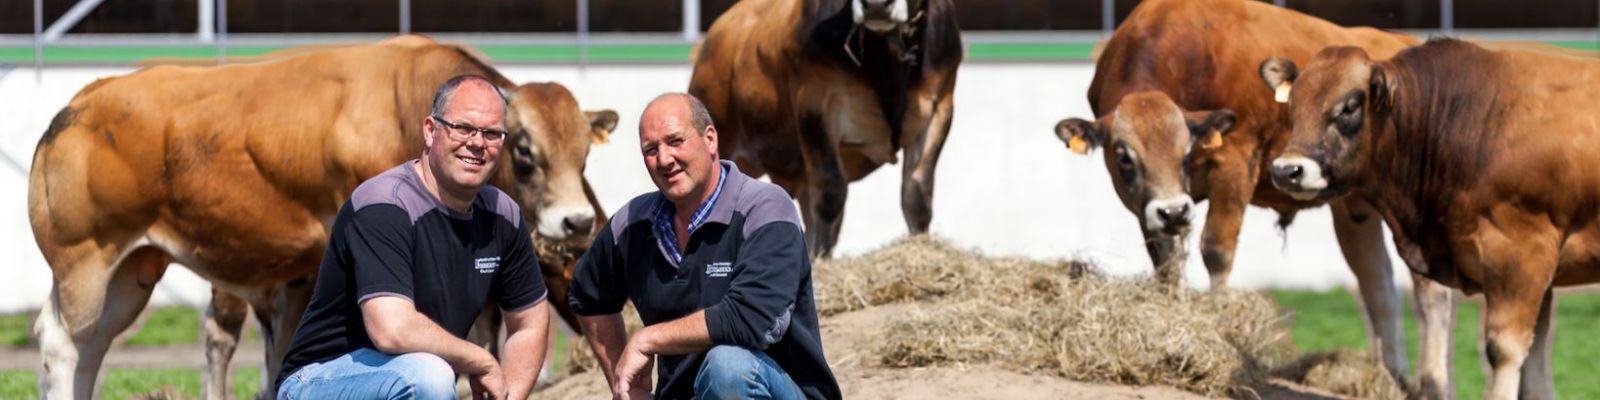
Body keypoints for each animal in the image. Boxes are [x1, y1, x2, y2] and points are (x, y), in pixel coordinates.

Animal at [31, 36, 620, 398]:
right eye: (523, 149)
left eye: (583, 156)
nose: (576, 222)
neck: (402, 107)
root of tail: (81, 102)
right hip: (85, 259)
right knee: (62, 345)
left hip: (133, 270)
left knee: (90, 347)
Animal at [688, 0, 960, 256]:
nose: (876, 5)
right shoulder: (817, 102)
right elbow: (831, 191)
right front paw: (821, 258)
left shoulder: (939, 106)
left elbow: (917, 192)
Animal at [1062, 0, 1465, 395]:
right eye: (1124, 155)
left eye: (1185, 147)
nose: (1174, 211)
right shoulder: (1146, 207)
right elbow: (1165, 261)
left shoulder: (1234, 166)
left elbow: (1216, 251)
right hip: (1354, 208)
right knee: (1378, 284)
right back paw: (1392, 378)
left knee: (1431, 293)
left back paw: (1432, 381)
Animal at [1260, 38, 1600, 400]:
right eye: (1293, 105)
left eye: (1349, 106)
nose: (1287, 170)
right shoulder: (1537, 268)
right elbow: (1536, 355)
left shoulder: (1519, 254)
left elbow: (1505, 350)